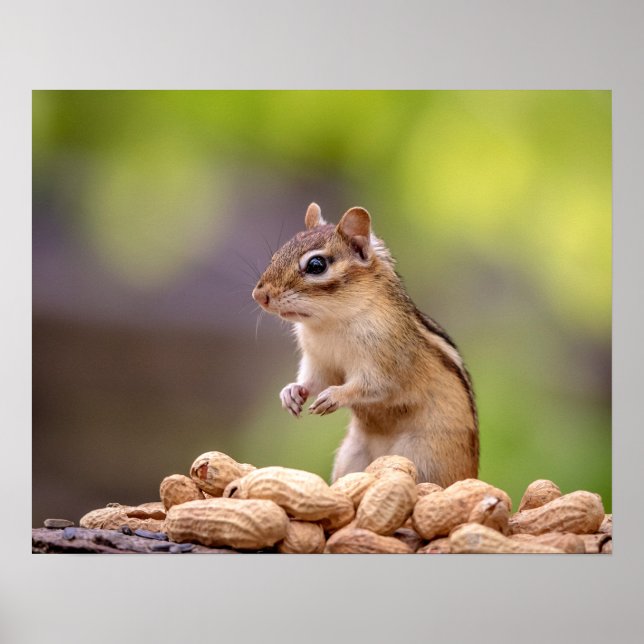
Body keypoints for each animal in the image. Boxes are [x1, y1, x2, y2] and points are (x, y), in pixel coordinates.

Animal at [251, 203, 479, 487]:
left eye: (316, 265)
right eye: (276, 255)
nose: (259, 295)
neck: (330, 323)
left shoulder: (387, 360)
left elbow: (374, 386)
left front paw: (335, 396)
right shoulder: (319, 361)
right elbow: (315, 380)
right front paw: (292, 392)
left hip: (425, 457)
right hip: (351, 456)